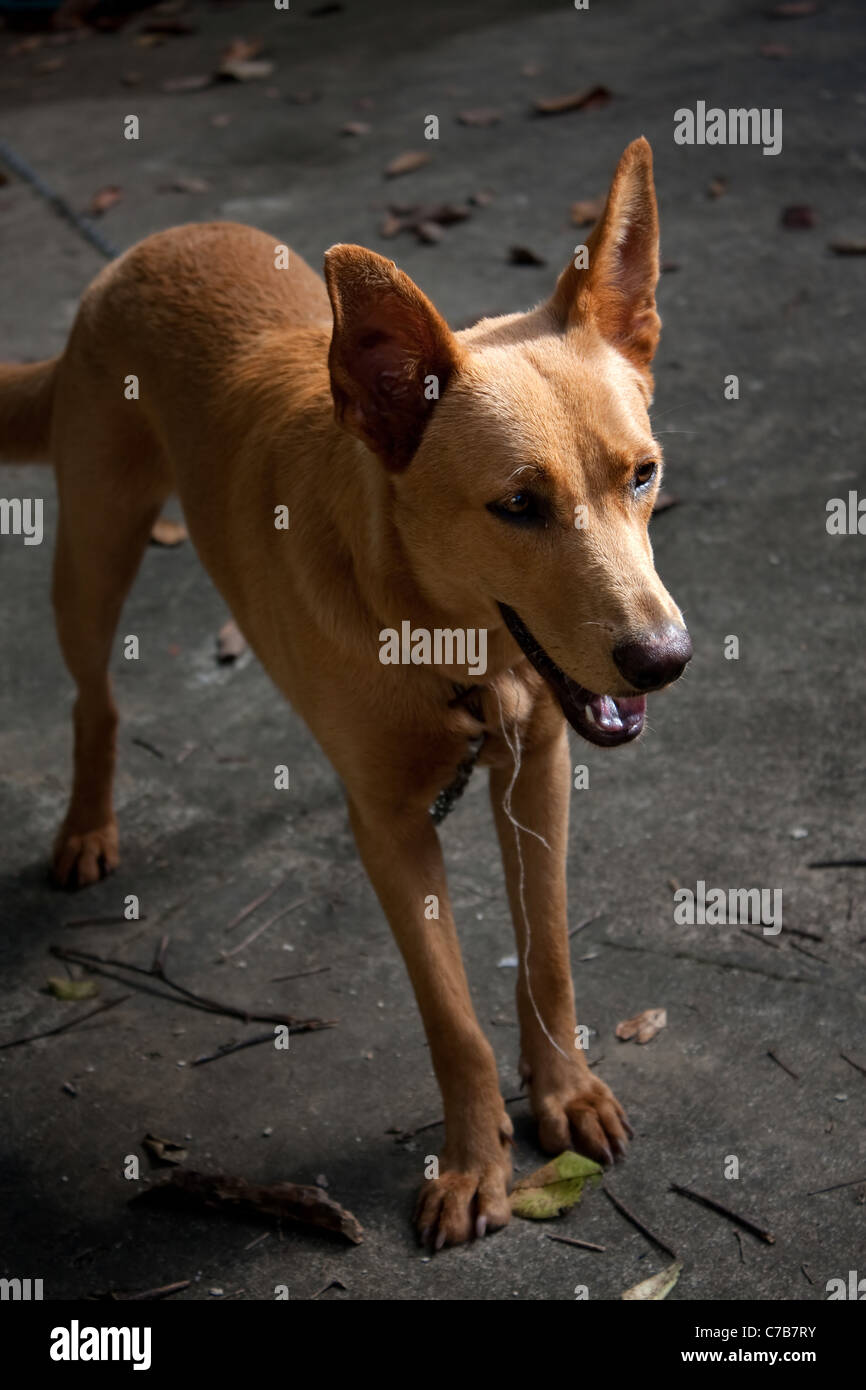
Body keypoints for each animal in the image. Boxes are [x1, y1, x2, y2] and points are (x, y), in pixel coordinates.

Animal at [0, 138, 692, 1251]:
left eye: (643, 475)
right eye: (517, 505)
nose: (664, 659)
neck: (449, 642)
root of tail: (142, 251)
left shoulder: (536, 770)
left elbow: (545, 956)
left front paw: (564, 1092)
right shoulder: (391, 829)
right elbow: (452, 1018)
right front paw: (473, 1164)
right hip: (92, 553)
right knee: (92, 696)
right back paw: (86, 823)